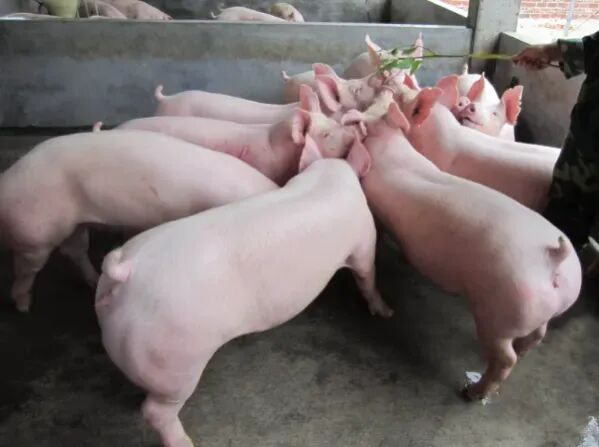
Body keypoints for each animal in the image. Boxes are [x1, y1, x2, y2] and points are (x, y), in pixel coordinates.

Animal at [0, 130, 276, 312]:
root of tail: (7, 184)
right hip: (35, 234)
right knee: (26, 269)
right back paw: (23, 306)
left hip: (73, 226)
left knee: (74, 251)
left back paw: (92, 282)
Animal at [95, 150, 393, 447]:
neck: (327, 178)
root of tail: (127, 271)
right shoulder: (364, 242)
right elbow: (367, 276)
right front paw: (386, 312)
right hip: (174, 358)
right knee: (156, 411)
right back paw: (186, 442)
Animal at [341, 89, 581, 400]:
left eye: (366, 112)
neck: (390, 148)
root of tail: (554, 257)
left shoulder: (376, 206)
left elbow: (378, 230)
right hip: (539, 308)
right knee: (538, 335)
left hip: (501, 311)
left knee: (505, 358)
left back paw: (472, 392)